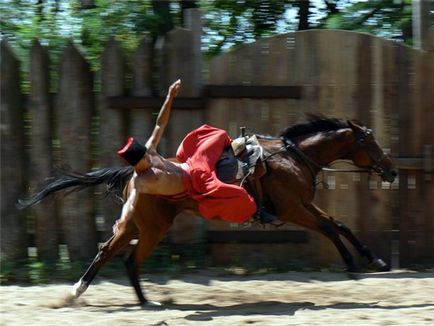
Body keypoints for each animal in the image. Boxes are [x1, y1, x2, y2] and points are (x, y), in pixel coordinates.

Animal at [17, 115, 396, 306]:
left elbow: (341, 225)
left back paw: (86, 291)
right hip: (151, 227)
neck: (293, 157)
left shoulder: (303, 205)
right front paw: (351, 266)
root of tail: (139, 170)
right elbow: (331, 228)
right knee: (126, 258)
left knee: (110, 252)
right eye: (371, 142)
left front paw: (374, 259)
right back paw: (140, 300)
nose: (391, 171)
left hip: (135, 225)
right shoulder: (292, 209)